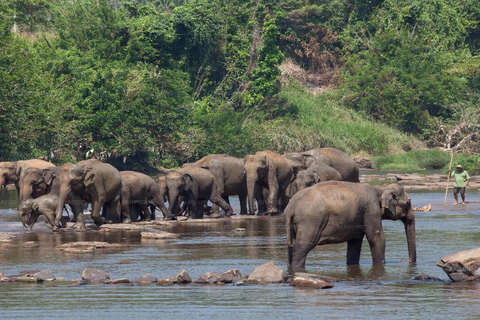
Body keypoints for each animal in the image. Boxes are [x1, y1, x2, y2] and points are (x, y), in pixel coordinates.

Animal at [284, 181, 416, 272]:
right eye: (408, 202)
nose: (407, 261)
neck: (380, 188)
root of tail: (291, 206)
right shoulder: (371, 209)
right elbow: (376, 237)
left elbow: (355, 243)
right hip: (311, 221)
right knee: (303, 247)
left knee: (291, 246)